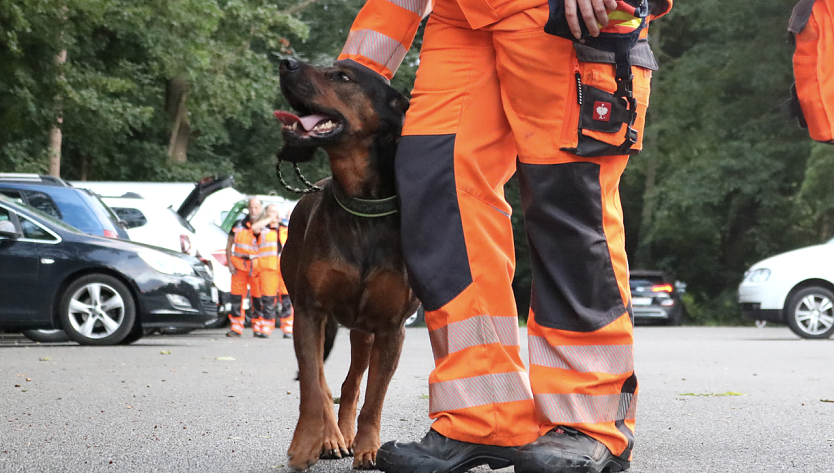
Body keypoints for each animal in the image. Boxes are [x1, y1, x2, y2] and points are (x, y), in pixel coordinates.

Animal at [274, 59, 420, 468]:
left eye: (342, 77)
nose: (285, 62)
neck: (362, 205)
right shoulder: (310, 311)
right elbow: (313, 385)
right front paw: (308, 442)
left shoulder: (391, 327)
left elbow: (374, 397)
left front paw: (369, 448)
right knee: (325, 381)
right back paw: (332, 437)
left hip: (364, 330)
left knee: (352, 382)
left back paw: (349, 435)